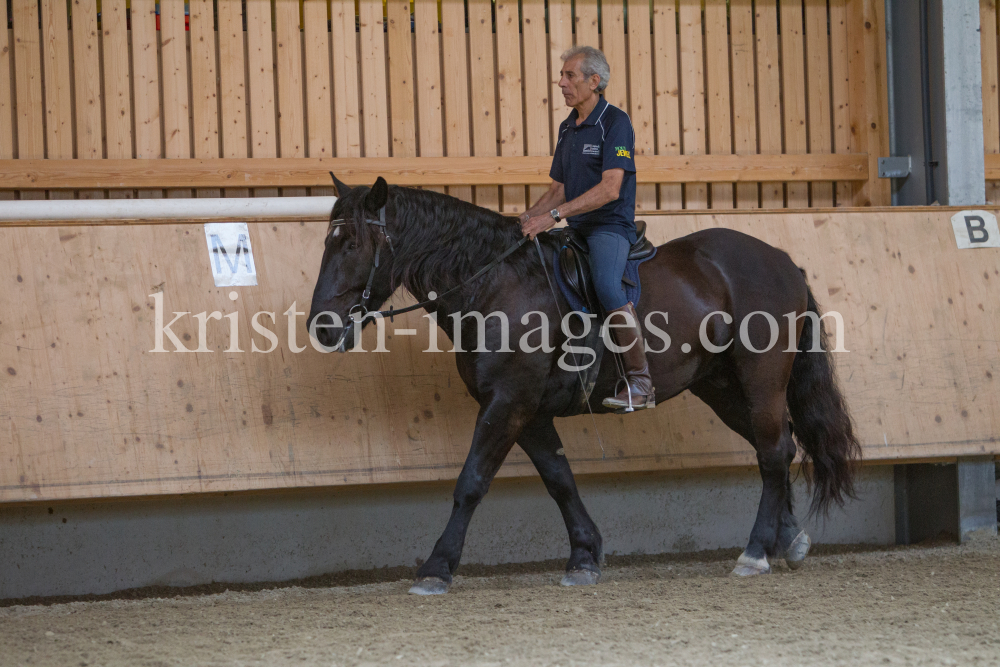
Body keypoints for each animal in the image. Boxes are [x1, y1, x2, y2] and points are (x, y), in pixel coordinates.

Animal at [306, 177, 860, 596]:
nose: (322, 328)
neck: (495, 285)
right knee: (779, 447)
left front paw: (436, 568)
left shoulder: (507, 404)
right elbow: (560, 481)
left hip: (760, 378)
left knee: (771, 450)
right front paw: (585, 556)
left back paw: (755, 551)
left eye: (350, 244)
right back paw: (787, 540)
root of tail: (781, 260)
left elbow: (471, 483)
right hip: (721, 387)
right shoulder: (528, 411)